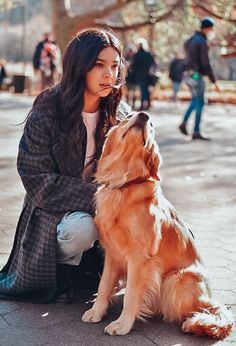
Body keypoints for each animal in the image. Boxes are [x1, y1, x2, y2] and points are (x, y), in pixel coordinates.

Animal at [82, 111, 233, 338]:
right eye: (128, 115)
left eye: (152, 125)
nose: (144, 115)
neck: (124, 185)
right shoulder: (112, 254)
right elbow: (104, 285)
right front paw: (97, 311)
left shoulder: (140, 257)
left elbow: (131, 295)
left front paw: (122, 324)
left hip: (174, 282)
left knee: (205, 309)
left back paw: (194, 324)